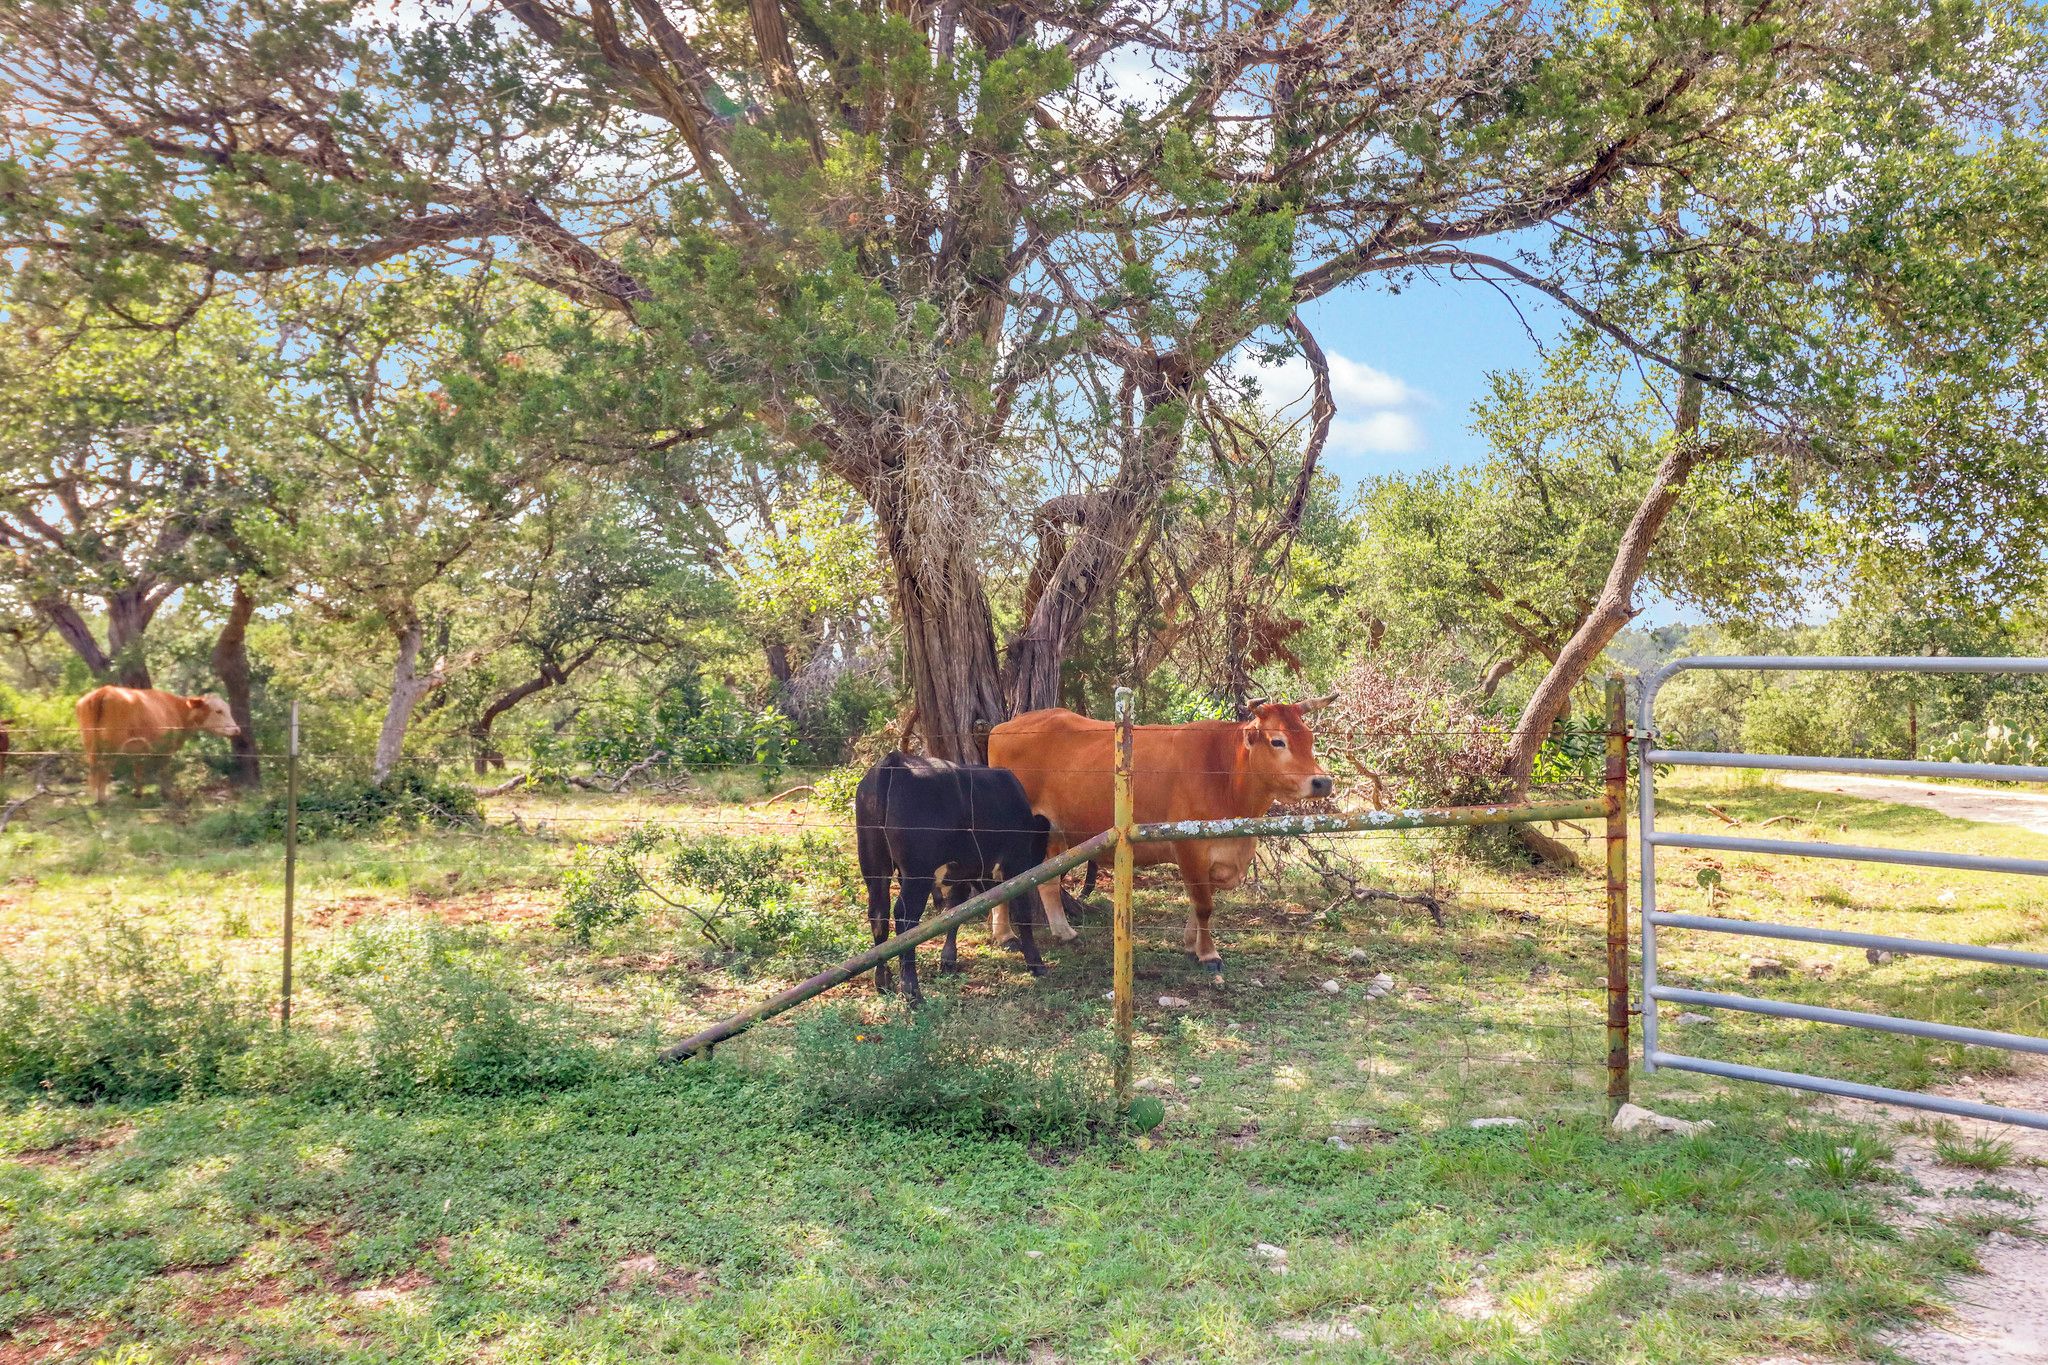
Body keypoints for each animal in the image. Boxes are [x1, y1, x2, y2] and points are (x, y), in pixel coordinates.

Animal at [75, 685, 242, 804]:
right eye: (218, 711)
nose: (237, 730)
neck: (177, 709)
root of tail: (105, 690)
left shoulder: (138, 749)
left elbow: (138, 769)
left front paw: (138, 793)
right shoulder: (166, 748)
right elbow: (163, 771)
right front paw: (167, 794)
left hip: (90, 744)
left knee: (94, 768)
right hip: (111, 746)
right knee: (103, 769)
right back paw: (102, 800)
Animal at [854, 752, 1053, 1004]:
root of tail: (894, 760)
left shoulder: (961, 873)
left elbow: (954, 912)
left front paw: (948, 959)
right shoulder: (1015, 864)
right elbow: (1023, 913)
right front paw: (1035, 963)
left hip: (874, 865)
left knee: (878, 914)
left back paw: (883, 981)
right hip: (917, 873)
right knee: (905, 916)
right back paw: (912, 991)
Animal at [987, 697, 1336, 979]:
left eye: (1310, 738)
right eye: (1278, 741)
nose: (1322, 782)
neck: (1225, 775)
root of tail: (1005, 726)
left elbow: (1202, 901)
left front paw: (1191, 943)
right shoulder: (1189, 847)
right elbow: (1204, 904)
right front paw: (1208, 953)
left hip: (1055, 830)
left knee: (1045, 880)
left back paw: (1063, 931)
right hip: (1011, 830)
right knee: (1001, 877)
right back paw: (1005, 935)